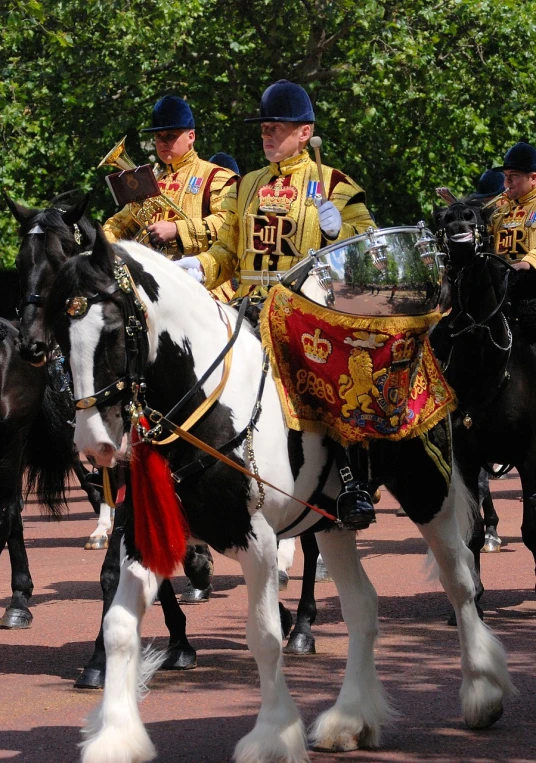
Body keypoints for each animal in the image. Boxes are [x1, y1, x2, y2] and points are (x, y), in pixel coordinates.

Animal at [48, 227, 512, 763]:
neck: (204, 406)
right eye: (59, 334)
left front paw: (273, 735)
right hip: (333, 520)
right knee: (362, 605)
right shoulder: (145, 535)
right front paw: (115, 738)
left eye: (113, 330)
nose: (94, 445)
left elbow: (265, 635)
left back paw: (482, 692)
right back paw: (351, 718)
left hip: (427, 490)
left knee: (459, 582)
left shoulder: (260, 542)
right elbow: (120, 629)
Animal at [434, 200, 536, 600]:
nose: (457, 232)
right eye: (445, 219)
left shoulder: (528, 455)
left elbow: (532, 532)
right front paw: (473, 597)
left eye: (473, 217)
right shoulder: (466, 458)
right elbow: (472, 532)